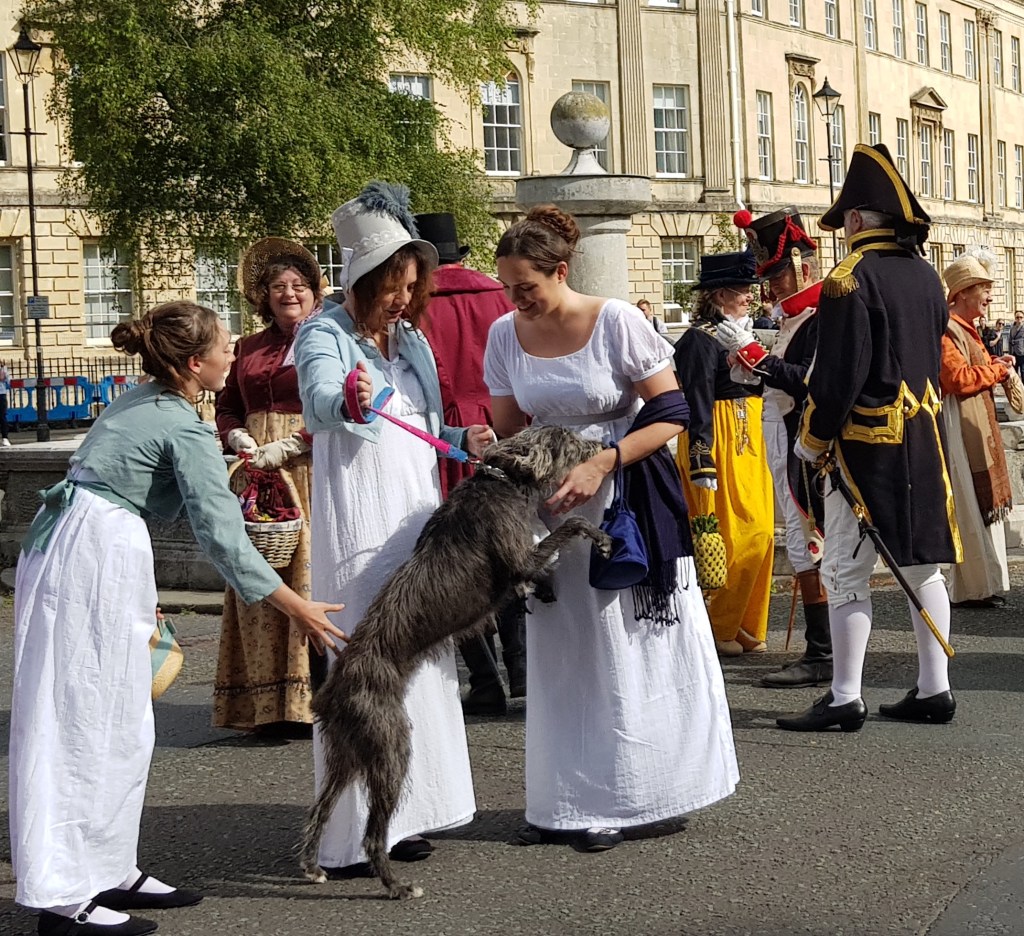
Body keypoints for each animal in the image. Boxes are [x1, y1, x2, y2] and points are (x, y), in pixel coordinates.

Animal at [299, 425, 612, 899]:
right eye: (571, 443)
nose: (604, 447)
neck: (501, 481)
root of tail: (333, 692)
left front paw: (546, 587)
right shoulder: (518, 555)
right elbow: (566, 530)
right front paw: (600, 539)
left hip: (347, 753)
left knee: (320, 809)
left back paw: (314, 868)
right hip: (391, 746)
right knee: (372, 833)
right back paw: (396, 886)